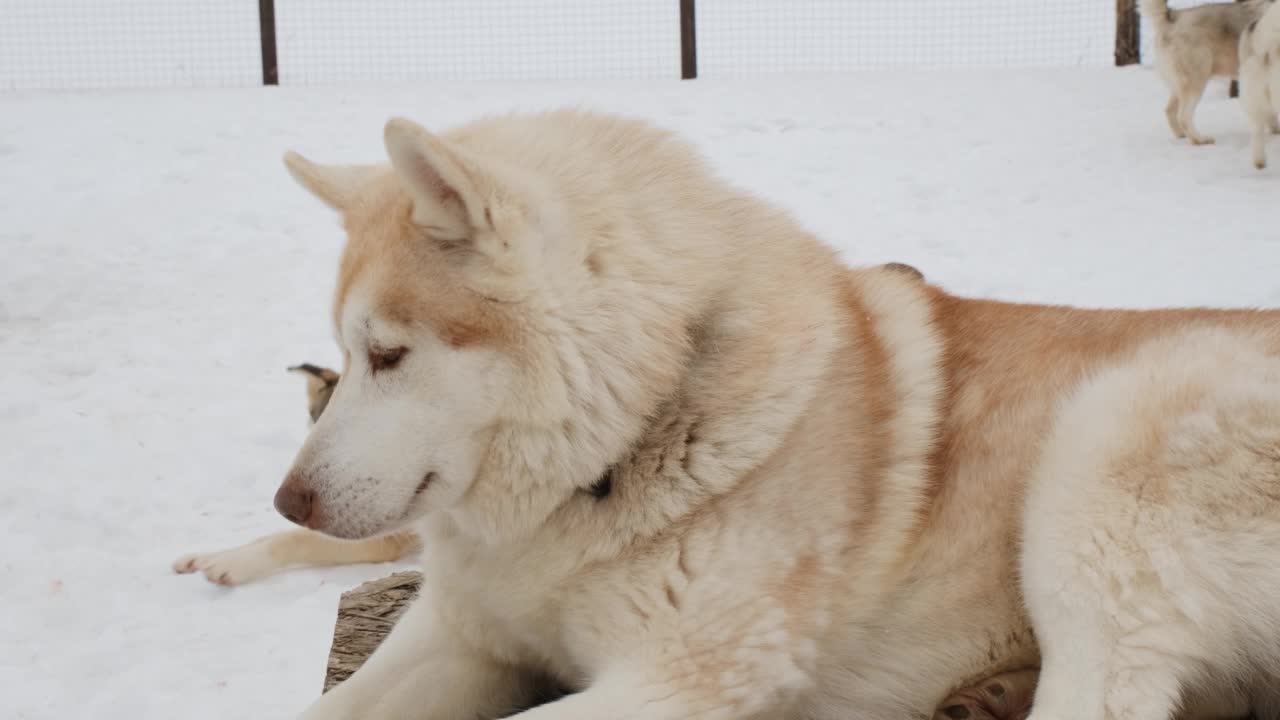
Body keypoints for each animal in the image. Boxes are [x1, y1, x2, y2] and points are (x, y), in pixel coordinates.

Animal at [244, 107, 1280, 717]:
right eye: (344, 356)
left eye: (389, 354)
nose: (289, 505)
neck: (617, 447)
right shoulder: (463, 638)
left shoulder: (683, 677)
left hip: (1102, 455)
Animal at [1141, 0, 1269, 144]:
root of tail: (1174, 16)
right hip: (1196, 82)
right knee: (1183, 117)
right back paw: (1199, 139)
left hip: (1180, 87)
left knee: (1169, 111)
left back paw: (1182, 135)